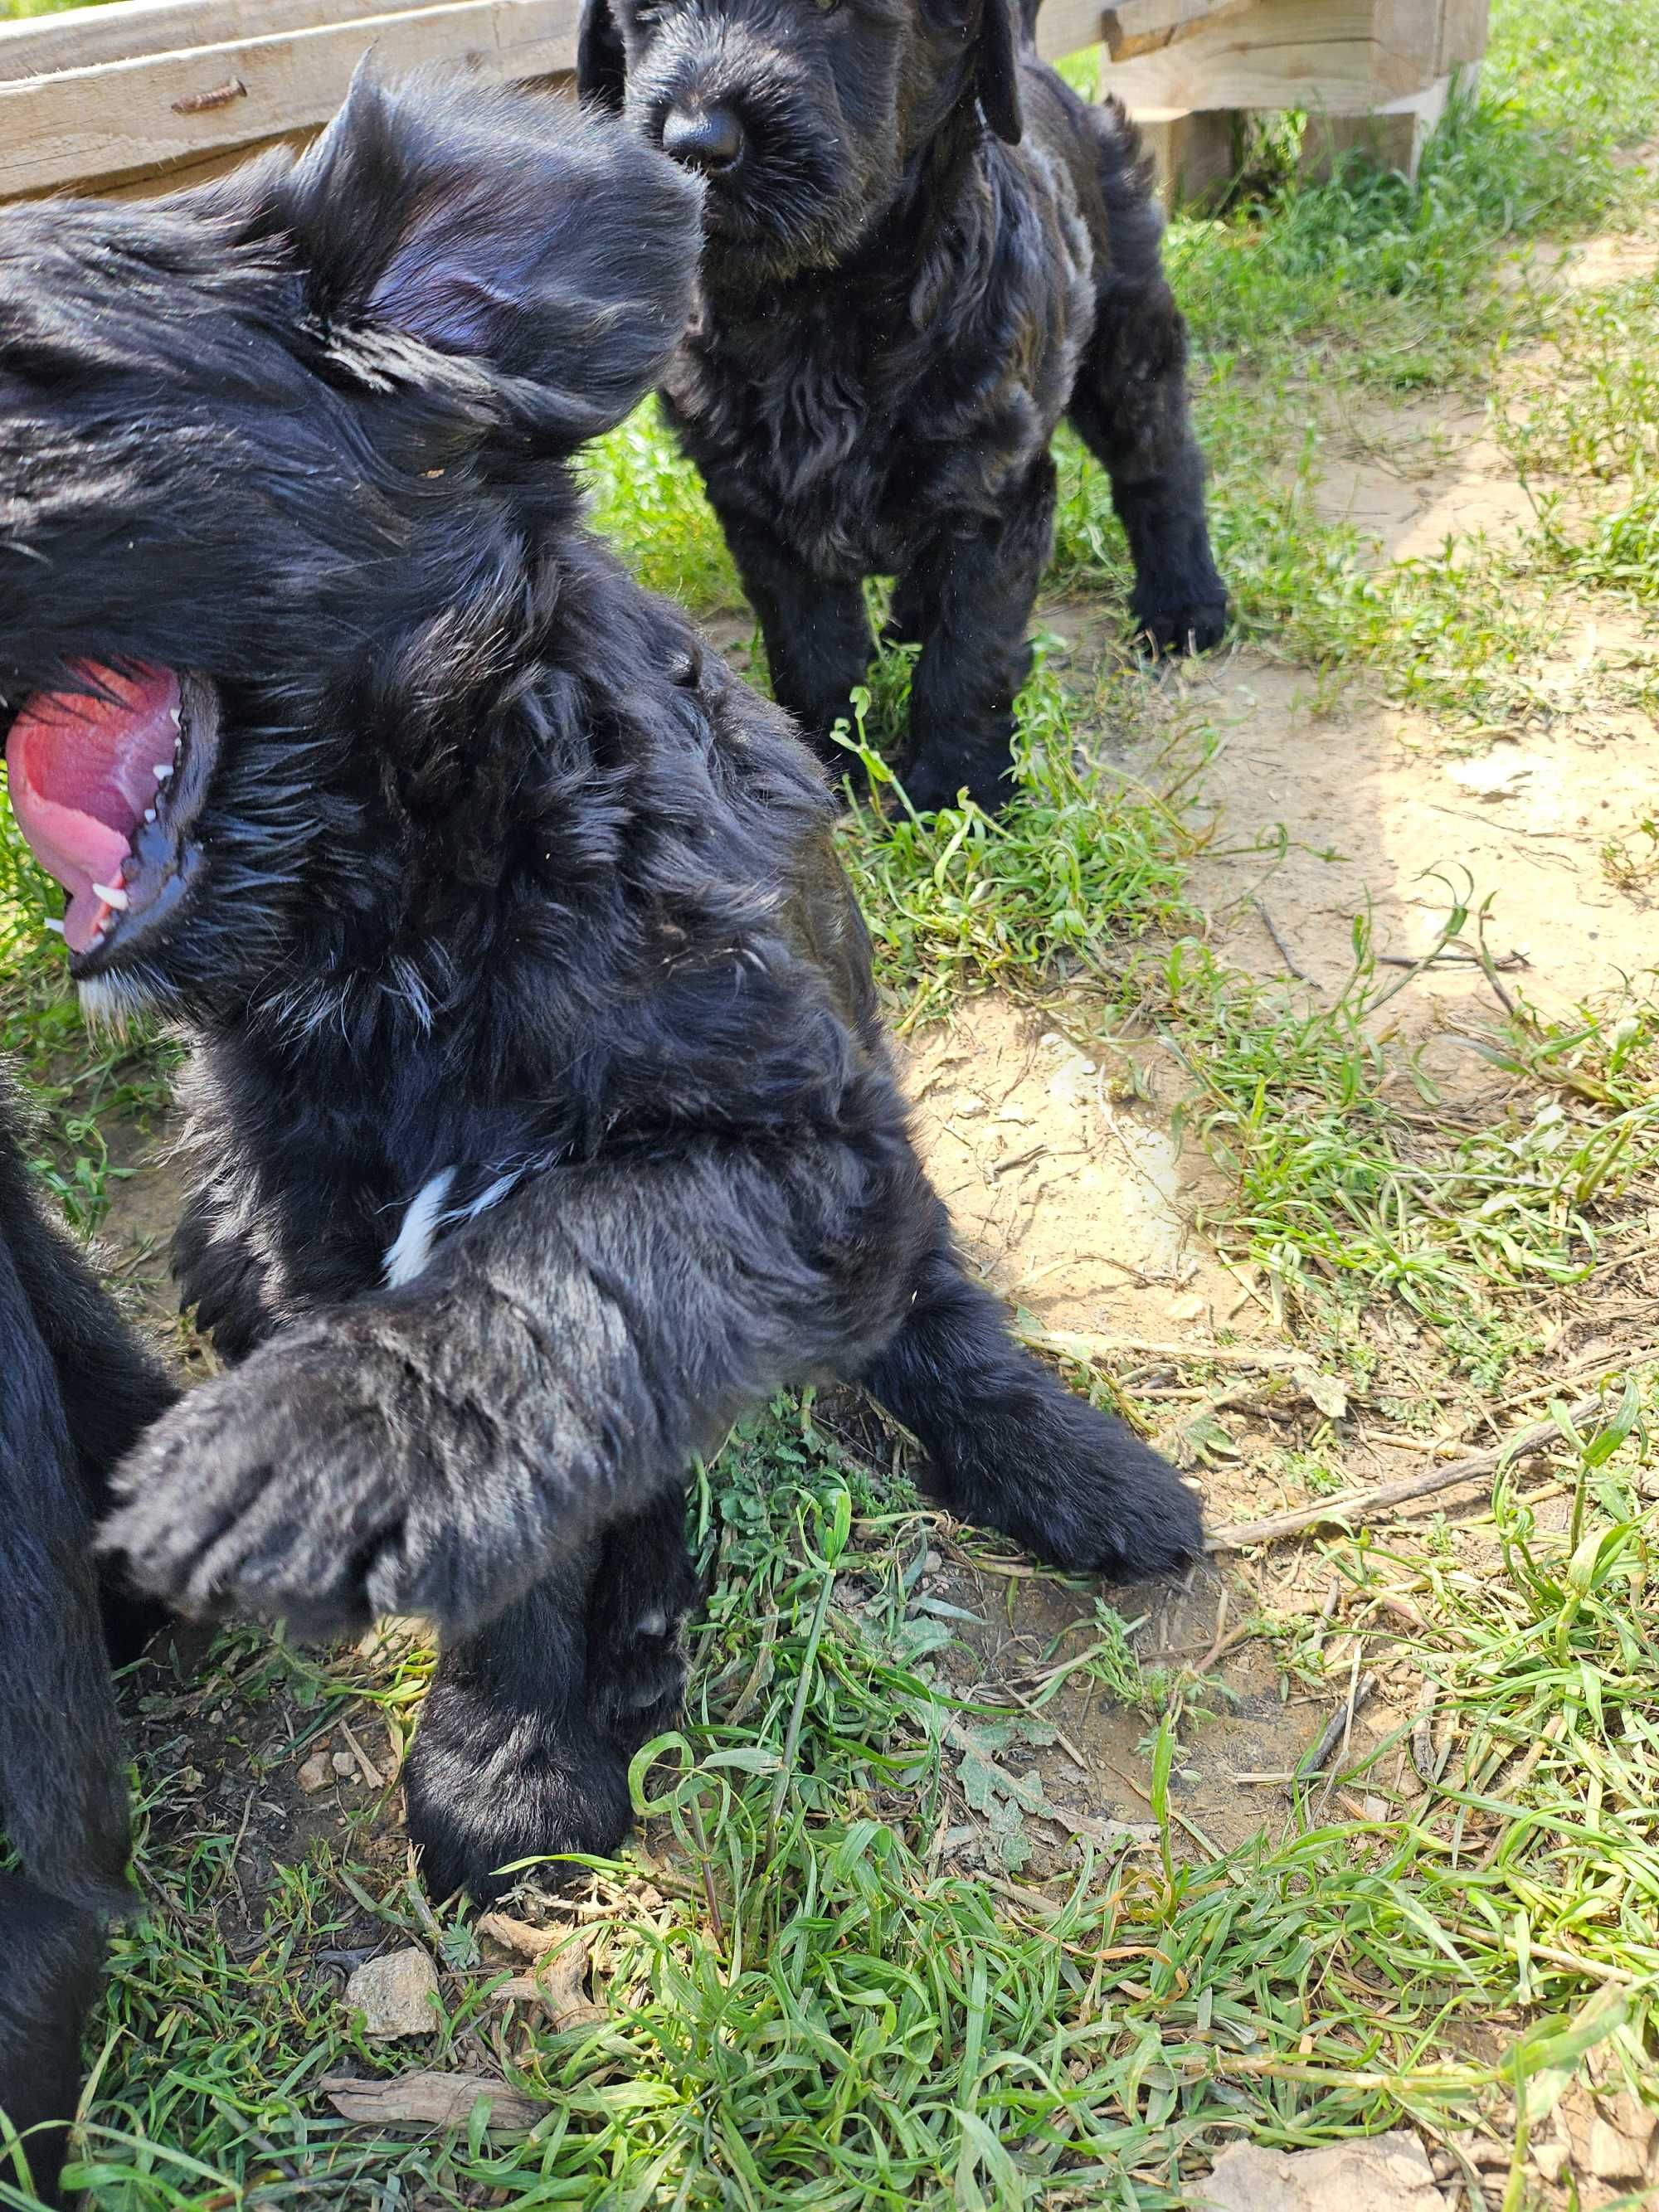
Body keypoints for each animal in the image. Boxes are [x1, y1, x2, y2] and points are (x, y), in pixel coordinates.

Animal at [0, 69, 1203, 1902]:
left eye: (32, 372)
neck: (416, 931)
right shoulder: (315, 1223)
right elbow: (529, 1500)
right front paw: (507, 1748)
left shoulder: (791, 1144)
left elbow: (572, 1278)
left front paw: (323, 1446)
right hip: (220, 1238)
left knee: (936, 1319)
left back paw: (1078, 1472)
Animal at [579, 0, 1229, 814]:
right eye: (645, 15)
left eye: (835, 11)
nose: (695, 143)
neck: (816, 308)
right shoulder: (757, 505)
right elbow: (810, 642)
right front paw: (826, 764)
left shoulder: (996, 487)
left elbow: (969, 651)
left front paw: (959, 790)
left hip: (1127, 331)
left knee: (1161, 463)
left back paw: (1185, 605)